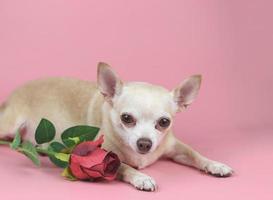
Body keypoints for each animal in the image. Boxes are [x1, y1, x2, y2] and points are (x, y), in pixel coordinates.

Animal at [0, 62, 232, 191]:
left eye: (164, 122)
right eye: (126, 118)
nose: (145, 143)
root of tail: (12, 95)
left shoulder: (175, 147)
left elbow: (195, 154)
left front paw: (216, 165)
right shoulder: (103, 156)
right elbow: (125, 166)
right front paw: (142, 178)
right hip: (10, 124)